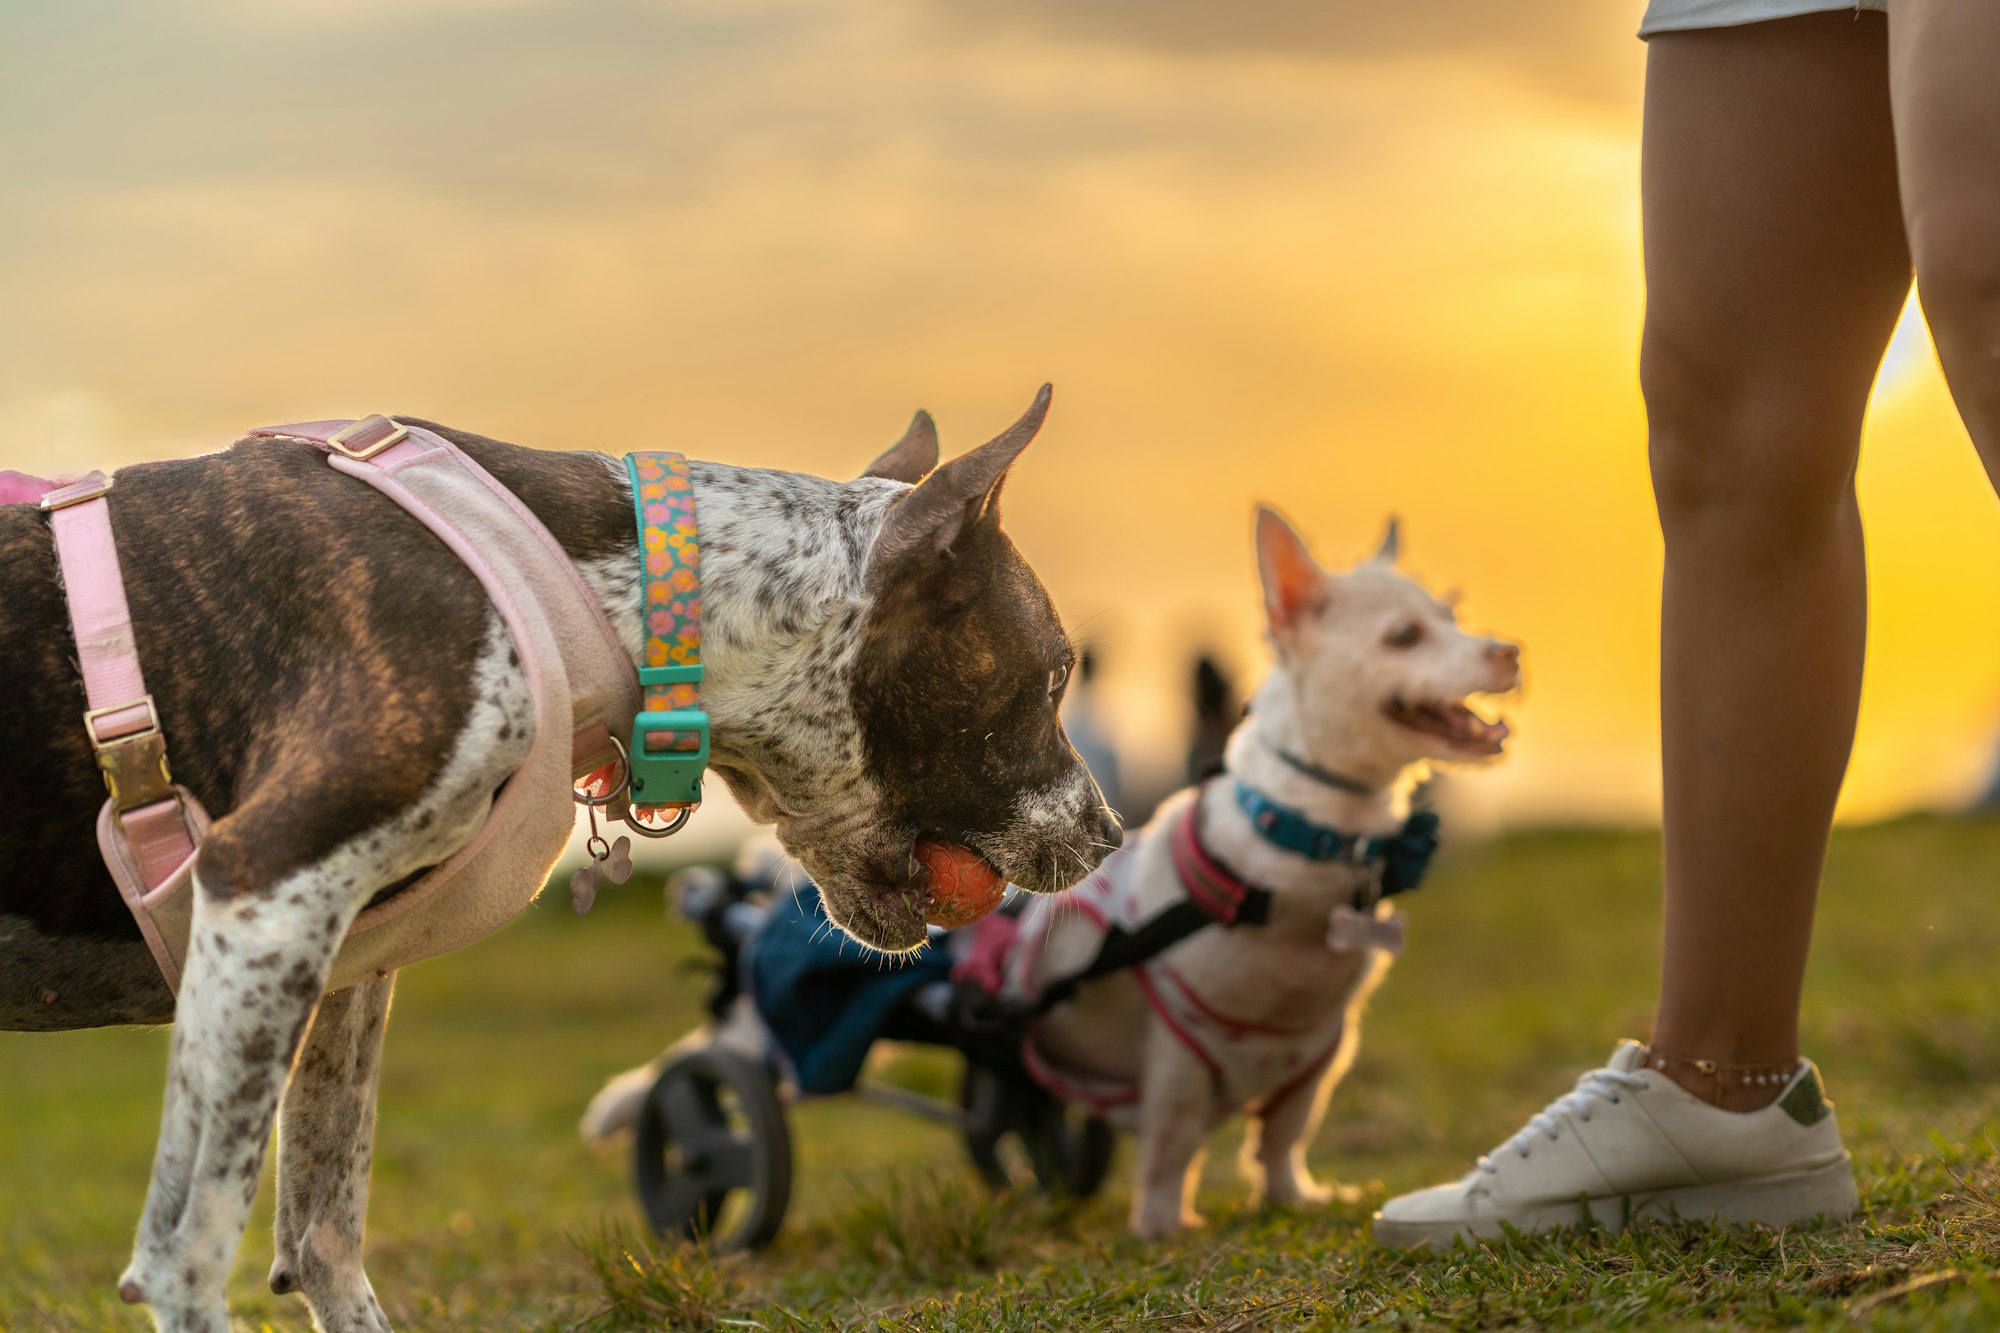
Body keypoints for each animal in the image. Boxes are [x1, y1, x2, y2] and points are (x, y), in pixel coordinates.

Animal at [0, 386, 1128, 1328]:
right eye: (1053, 675)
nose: (1111, 835)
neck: (601, 595)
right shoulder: (264, 887)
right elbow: (185, 1251)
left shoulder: (343, 962)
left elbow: (324, 1235)